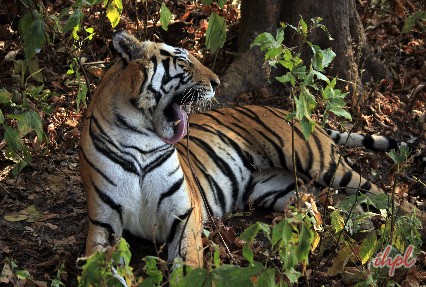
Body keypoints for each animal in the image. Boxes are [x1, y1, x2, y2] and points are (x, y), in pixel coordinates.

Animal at [80, 30, 426, 268]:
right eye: (182, 61)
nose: (217, 82)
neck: (141, 139)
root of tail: (295, 115)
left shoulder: (185, 214)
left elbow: (187, 263)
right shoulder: (102, 224)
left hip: (319, 161)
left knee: (381, 194)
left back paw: (412, 221)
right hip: (281, 189)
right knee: (338, 202)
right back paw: (355, 224)